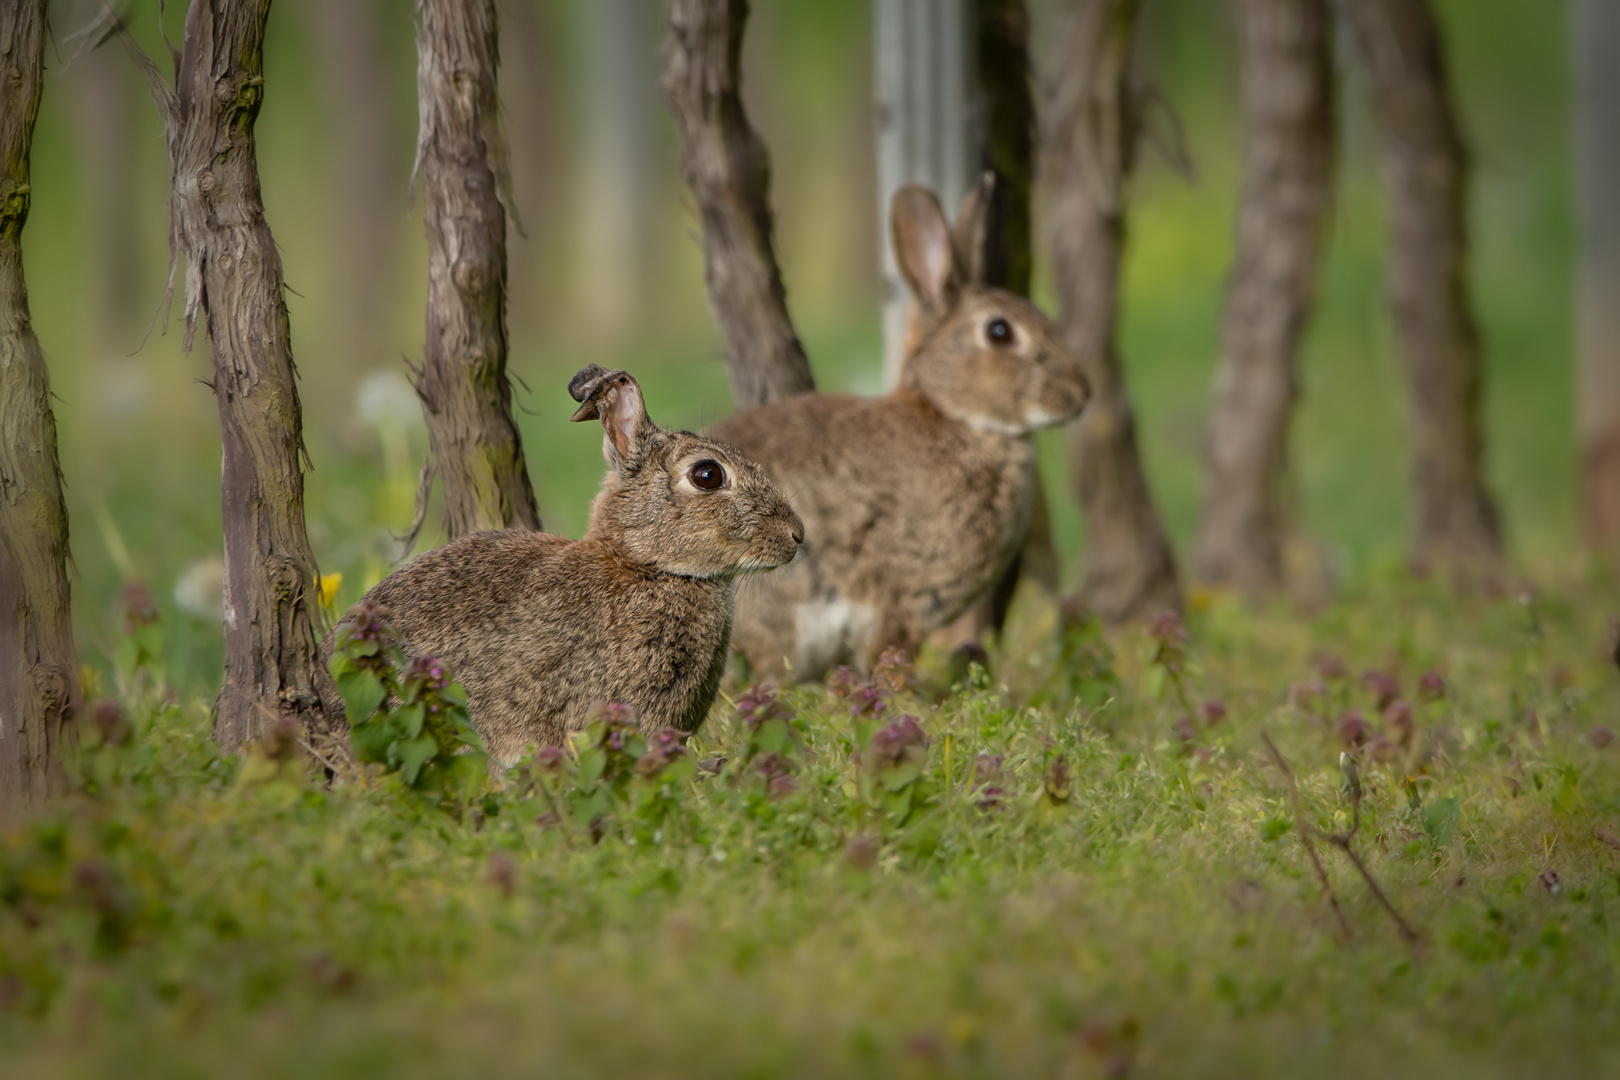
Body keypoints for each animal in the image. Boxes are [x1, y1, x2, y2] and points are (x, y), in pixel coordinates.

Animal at [709, 177, 1088, 683]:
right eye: (1000, 331)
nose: (1081, 394)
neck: (954, 417)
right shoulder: (897, 598)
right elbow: (889, 651)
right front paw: (903, 695)